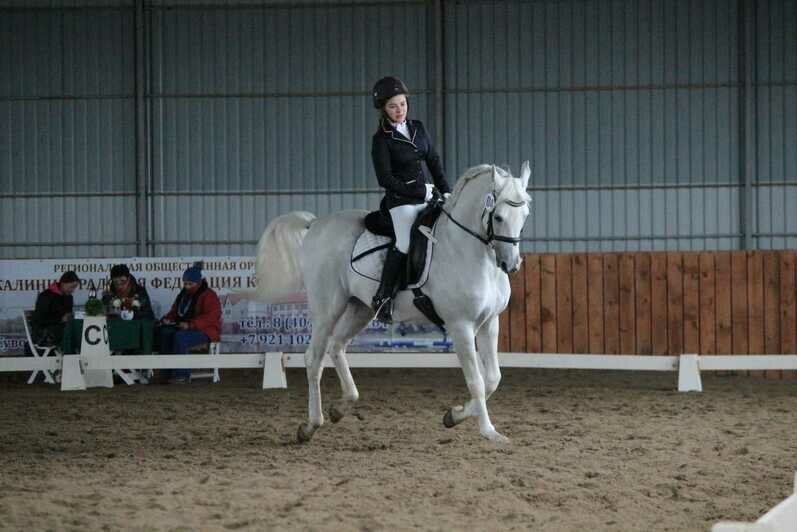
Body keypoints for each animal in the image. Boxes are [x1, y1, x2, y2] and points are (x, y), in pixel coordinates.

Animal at [252, 162, 532, 444]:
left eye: (525, 216)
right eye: (498, 217)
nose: (511, 265)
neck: (467, 249)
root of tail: (316, 223)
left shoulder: (489, 322)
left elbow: (493, 378)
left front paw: (454, 415)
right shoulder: (460, 326)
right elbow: (477, 381)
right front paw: (489, 432)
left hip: (361, 309)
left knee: (337, 346)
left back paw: (340, 407)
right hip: (326, 309)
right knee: (314, 359)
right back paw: (310, 425)